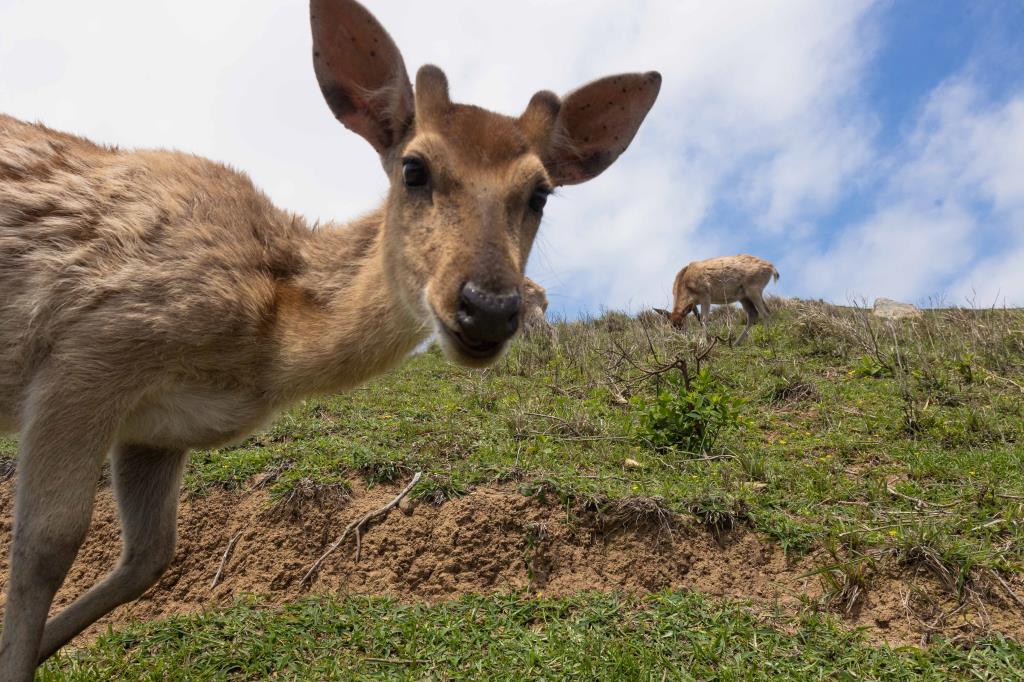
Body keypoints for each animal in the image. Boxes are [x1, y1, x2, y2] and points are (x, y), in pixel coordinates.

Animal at [0, 1, 660, 677]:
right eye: (414, 167)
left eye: (540, 193)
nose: (488, 307)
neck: (264, 352)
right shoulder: (93, 346)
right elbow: (45, 545)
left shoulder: (157, 430)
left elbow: (150, 556)